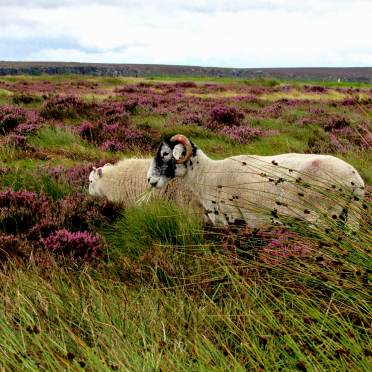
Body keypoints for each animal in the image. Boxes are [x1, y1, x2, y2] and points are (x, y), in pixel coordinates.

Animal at [147, 134, 364, 227]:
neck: (208, 173)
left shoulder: (231, 218)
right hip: (350, 215)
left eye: (165, 153)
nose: (149, 180)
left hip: (322, 216)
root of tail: (355, 180)